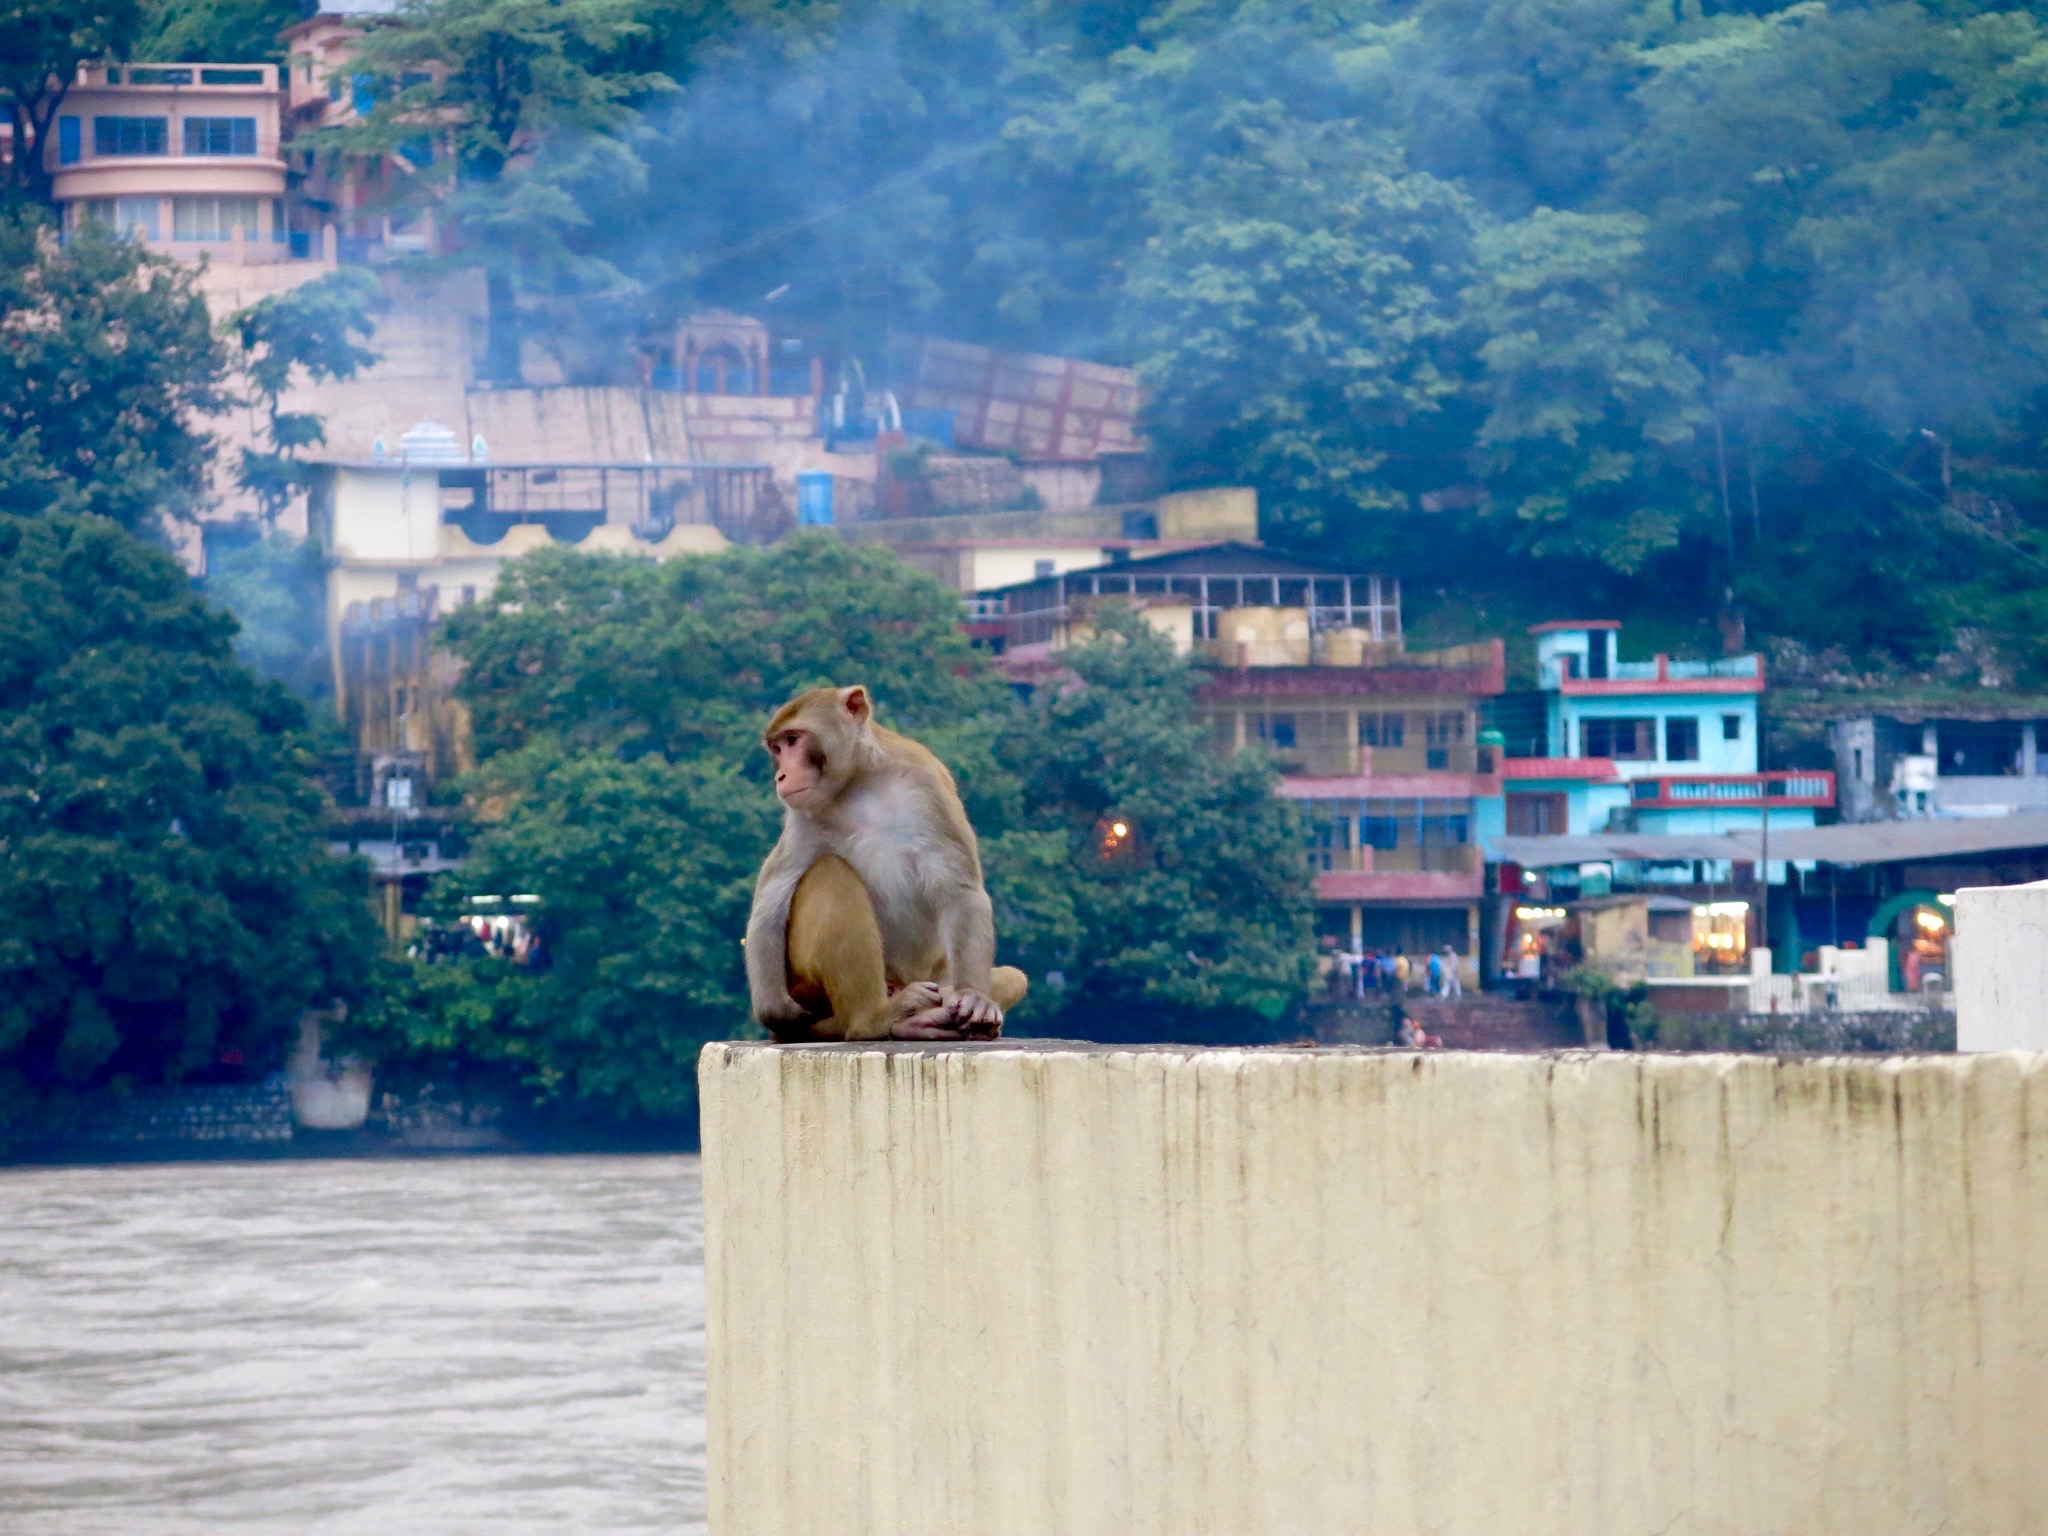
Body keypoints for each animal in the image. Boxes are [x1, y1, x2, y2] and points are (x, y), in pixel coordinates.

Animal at [745, 684, 1028, 1042]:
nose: (781, 776)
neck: (859, 780)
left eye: (793, 740)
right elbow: (773, 898)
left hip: (932, 973)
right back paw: (877, 1018)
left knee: (1014, 977)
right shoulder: (801, 815)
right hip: (806, 984)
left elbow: (959, 889)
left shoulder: (926, 781)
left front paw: (975, 996)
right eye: (777, 748)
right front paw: (772, 1005)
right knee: (831, 873)